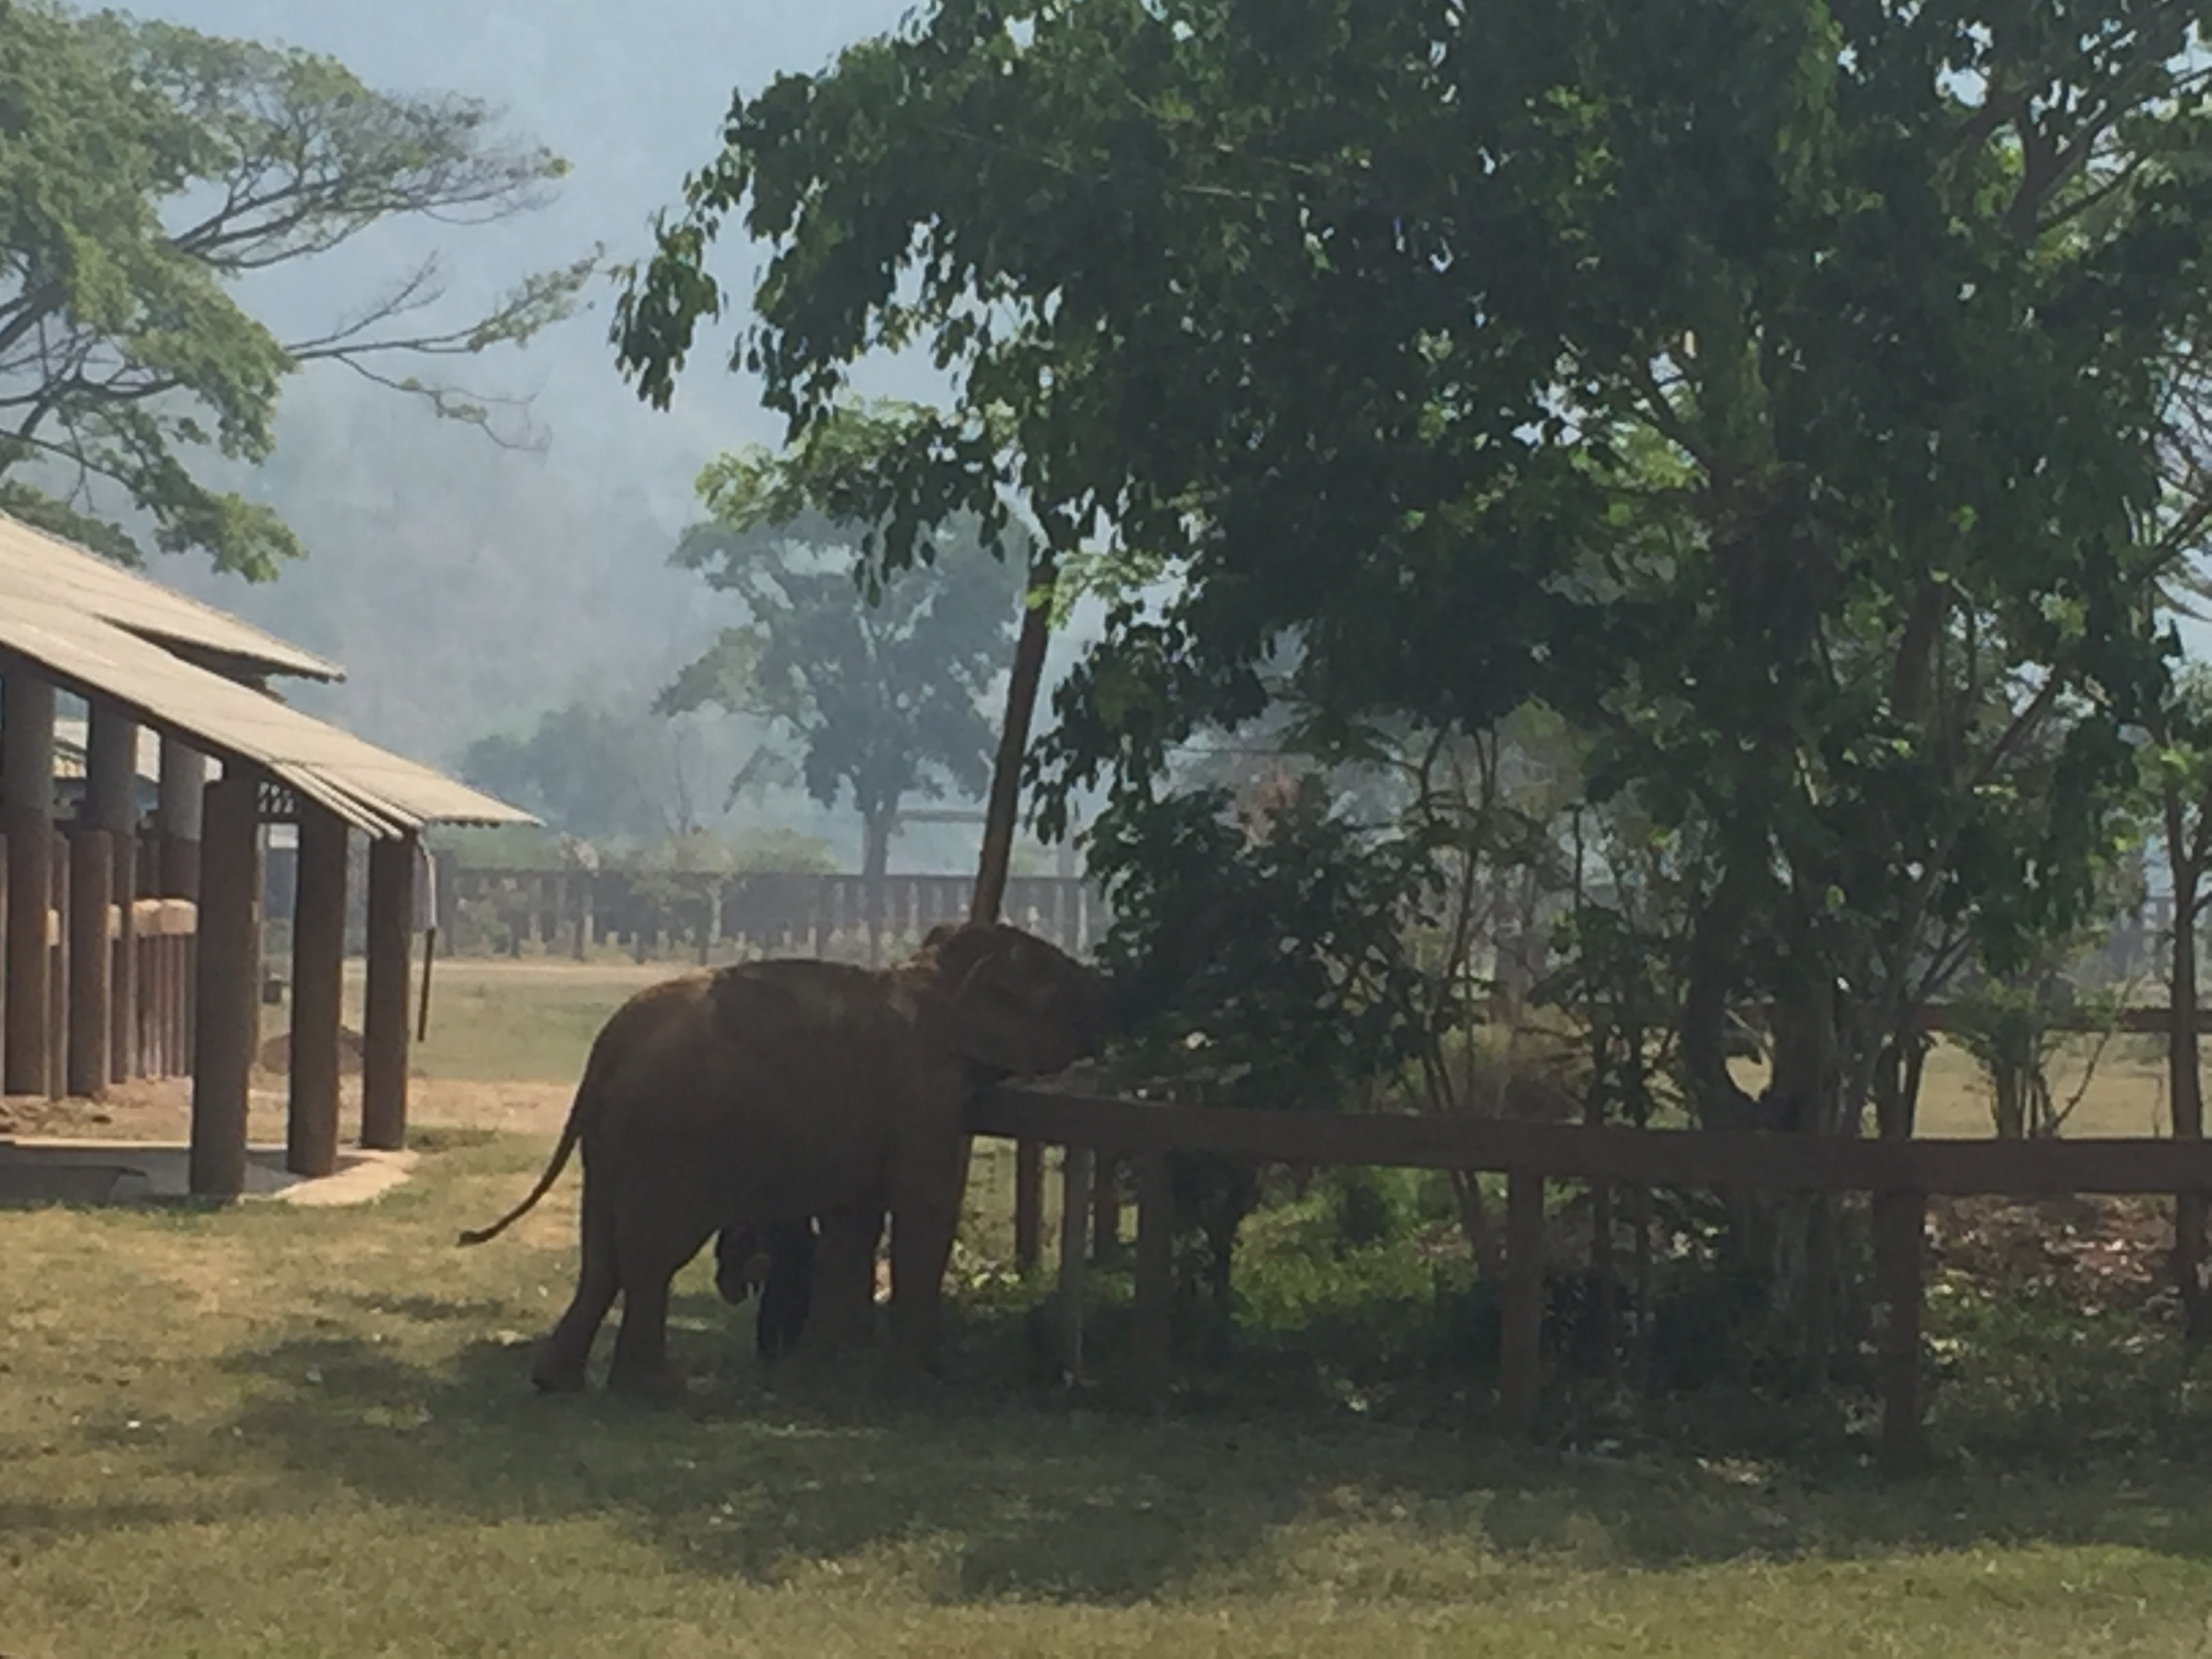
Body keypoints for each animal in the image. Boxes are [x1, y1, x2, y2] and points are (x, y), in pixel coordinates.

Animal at [456, 920, 1112, 1398]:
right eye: (1073, 991)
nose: (1119, 995)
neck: (935, 976)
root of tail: (607, 1046)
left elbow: (853, 1224)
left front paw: (811, 1376)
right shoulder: (925, 1095)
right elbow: (923, 1211)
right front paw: (914, 1389)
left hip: (613, 1140)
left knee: (602, 1252)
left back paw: (556, 1382)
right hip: (669, 1139)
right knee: (652, 1253)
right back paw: (654, 1392)